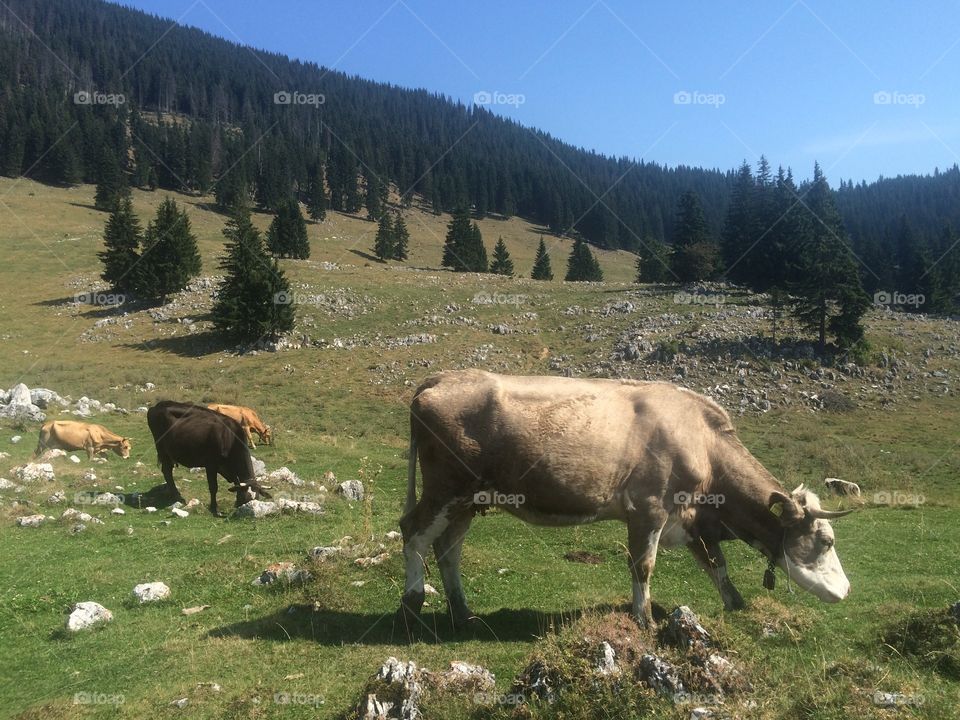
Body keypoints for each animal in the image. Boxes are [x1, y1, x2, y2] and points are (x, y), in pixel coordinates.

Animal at [398, 370, 853, 631]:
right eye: (825, 541)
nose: (846, 590)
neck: (703, 445)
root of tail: (441, 378)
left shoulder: (694, 520)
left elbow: (715, 563)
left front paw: (735, 603)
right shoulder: (649, 509)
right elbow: (643, 566)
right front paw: (645, 619)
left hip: (469, 499)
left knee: (448, 547)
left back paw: (463, 612)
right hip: (445, 487)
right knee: (414, 532)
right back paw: (413, 602)